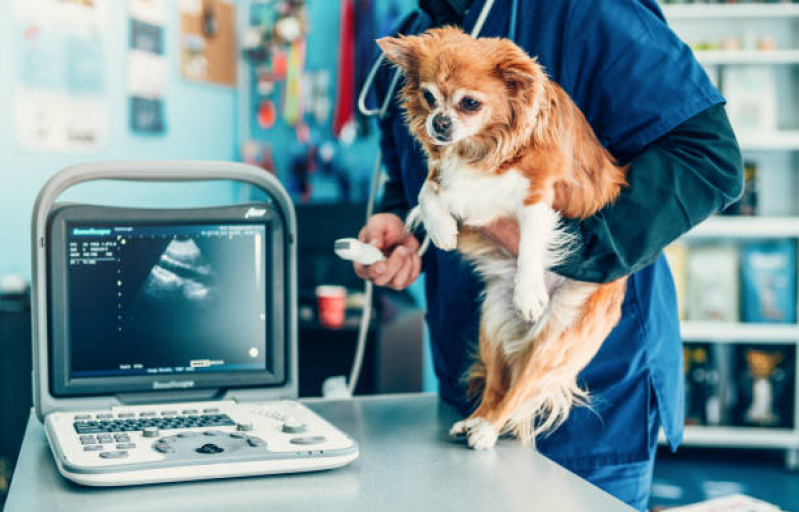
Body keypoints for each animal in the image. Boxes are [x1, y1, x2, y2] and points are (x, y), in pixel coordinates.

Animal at [380, 28, 632, 448]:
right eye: (429, 96)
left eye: (470, 103)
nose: (439, 123)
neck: (479, 146)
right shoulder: (444, 174)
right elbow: (426, 192)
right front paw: (442, 229)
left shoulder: (537, 195)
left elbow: (529, 245)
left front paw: (528, 293)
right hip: (492, 323)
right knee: (497, 387)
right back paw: (474, 421)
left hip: (554, 341)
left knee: (518, 391)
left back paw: (487, 431)